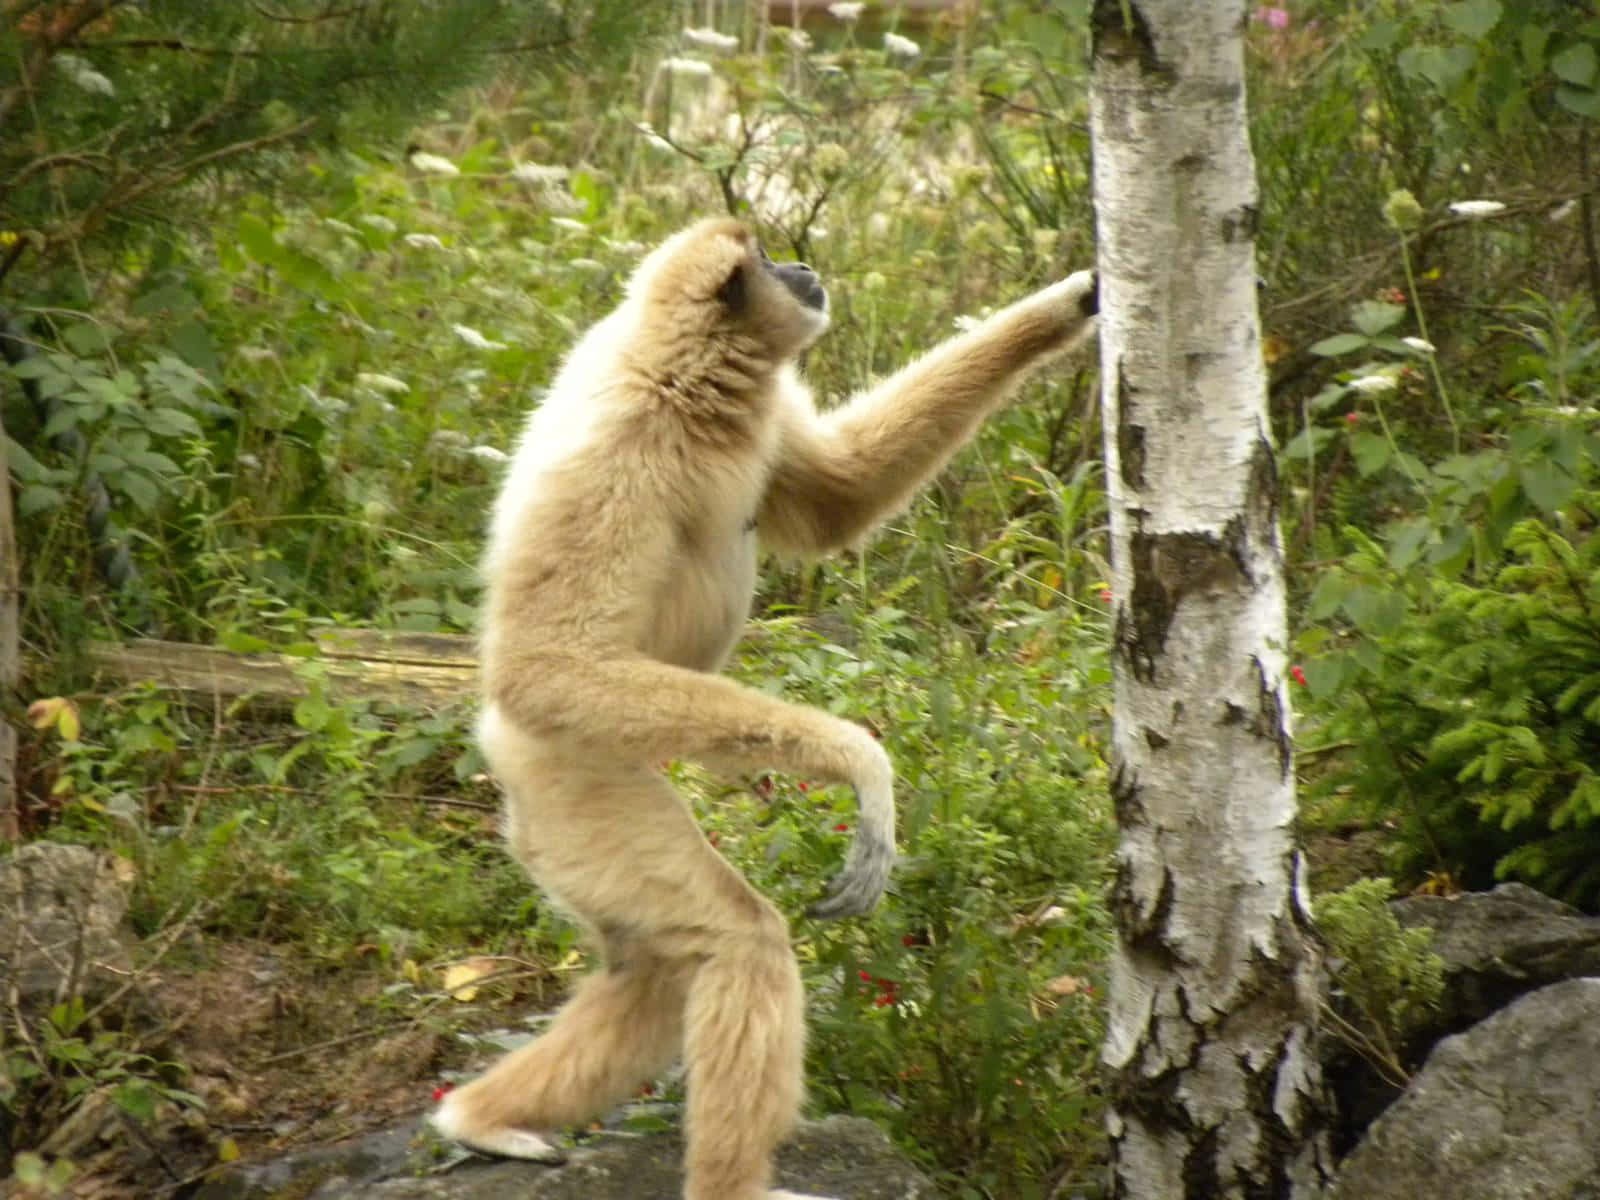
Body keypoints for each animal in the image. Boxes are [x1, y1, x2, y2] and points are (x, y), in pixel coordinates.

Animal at [429, 217, 1097, 1200]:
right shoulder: (619, 455)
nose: (805, 267)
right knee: (732, 939)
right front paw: (861, 763)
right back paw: (730, 1181)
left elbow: (840, 498)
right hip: (575, 774)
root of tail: (501, 761)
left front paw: (1074, 300)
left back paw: (478, 1118)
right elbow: (548, 663)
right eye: (775, 261)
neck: (677, 377)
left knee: (655, 969)